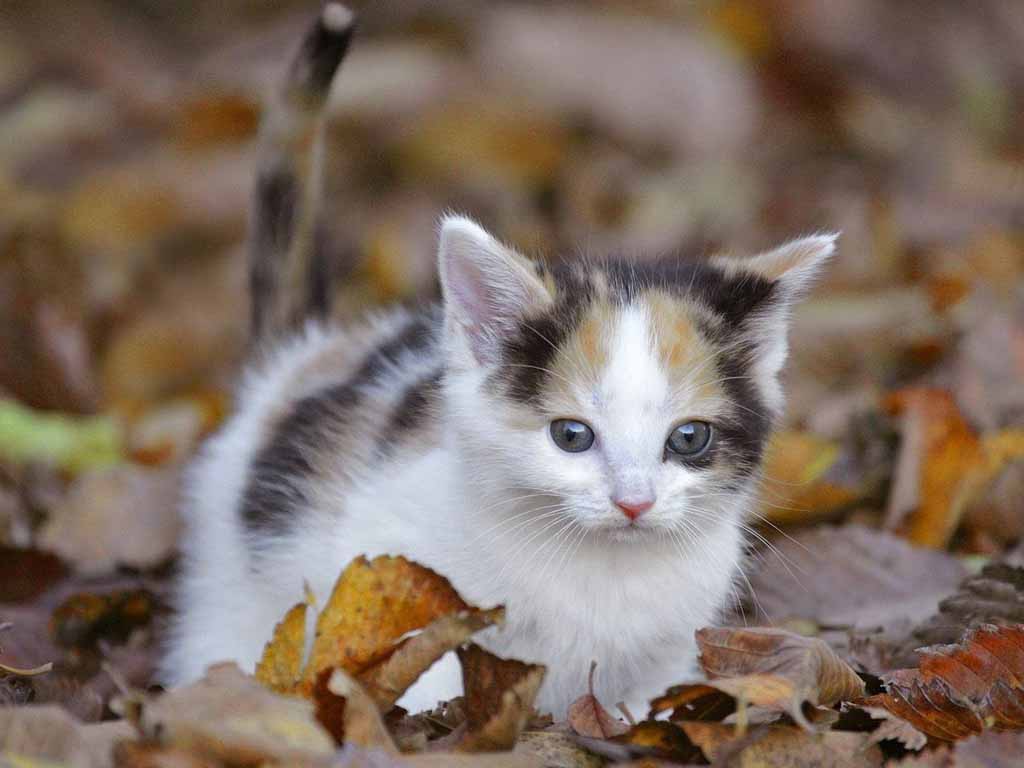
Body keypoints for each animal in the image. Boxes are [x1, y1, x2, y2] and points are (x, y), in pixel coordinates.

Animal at [157, 6, 831, 720]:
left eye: (690, 438)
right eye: (572, 436)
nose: (633, 504)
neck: (601, 570)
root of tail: (304, 356)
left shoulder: (669, 645)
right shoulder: (395, 575)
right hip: (232, 575)